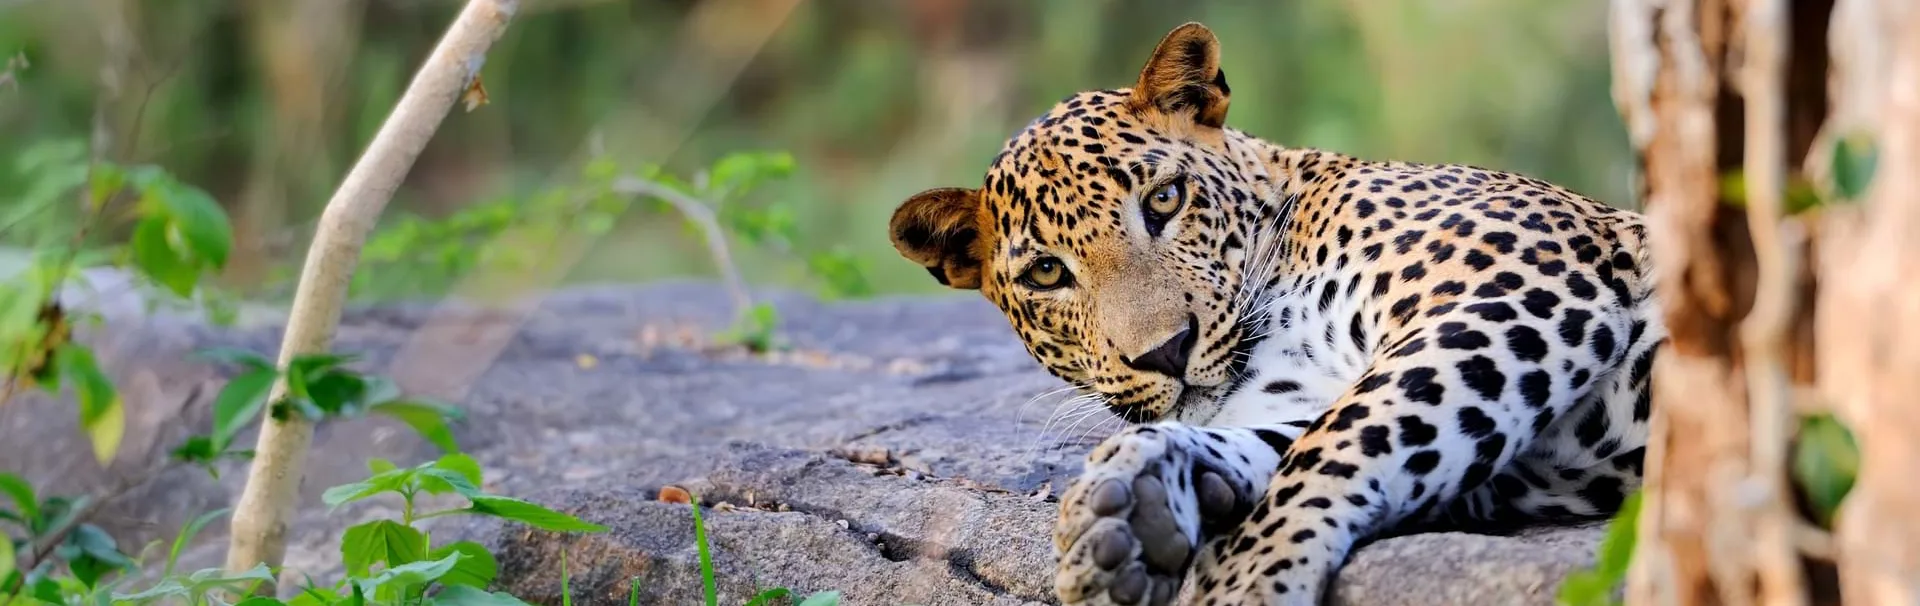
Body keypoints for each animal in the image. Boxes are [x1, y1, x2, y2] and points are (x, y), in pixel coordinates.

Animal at [886, 22, 1662, 606]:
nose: (1166, 351)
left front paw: (1245, 580)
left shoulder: (1512, 285)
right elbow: (1294, 437)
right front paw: (1133, 502)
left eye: (1164, 199)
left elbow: (1339, 440)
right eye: (1047, 272)